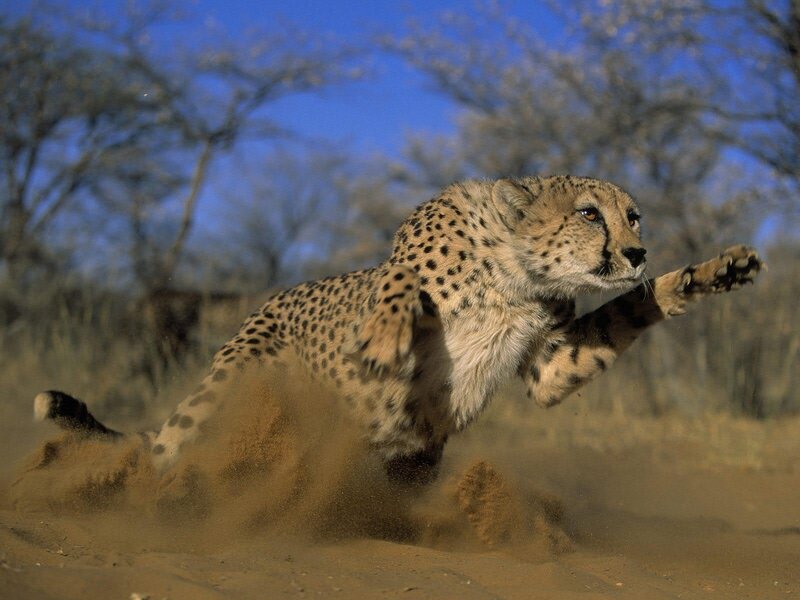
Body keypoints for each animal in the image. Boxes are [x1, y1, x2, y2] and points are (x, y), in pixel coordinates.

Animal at [34, 175, 763, 486]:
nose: (637, 251)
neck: (515, 275)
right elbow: (398, 283)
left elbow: (630, 309)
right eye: (589, 213)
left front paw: (710, 272)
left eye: (633, 216)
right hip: (230, 383)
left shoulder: (550, 364)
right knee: (168, 451)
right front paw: (386, 338)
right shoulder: (403, 258)